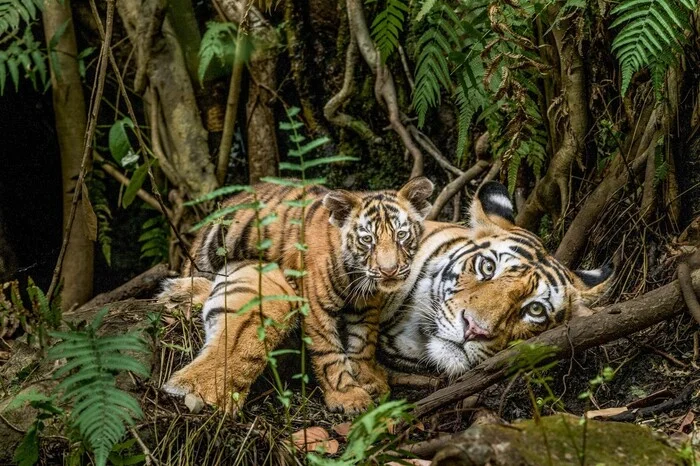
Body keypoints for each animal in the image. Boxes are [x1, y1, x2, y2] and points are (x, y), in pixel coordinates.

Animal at [166, 177, 434, 412]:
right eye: (367, 239)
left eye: (401, 235)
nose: (389, 271)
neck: (357, 277)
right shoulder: (316, 307)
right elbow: (328, 353)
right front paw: (348, 397)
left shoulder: (366, 306)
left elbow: (364, 342)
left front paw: (369, 379)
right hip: (207, 254)